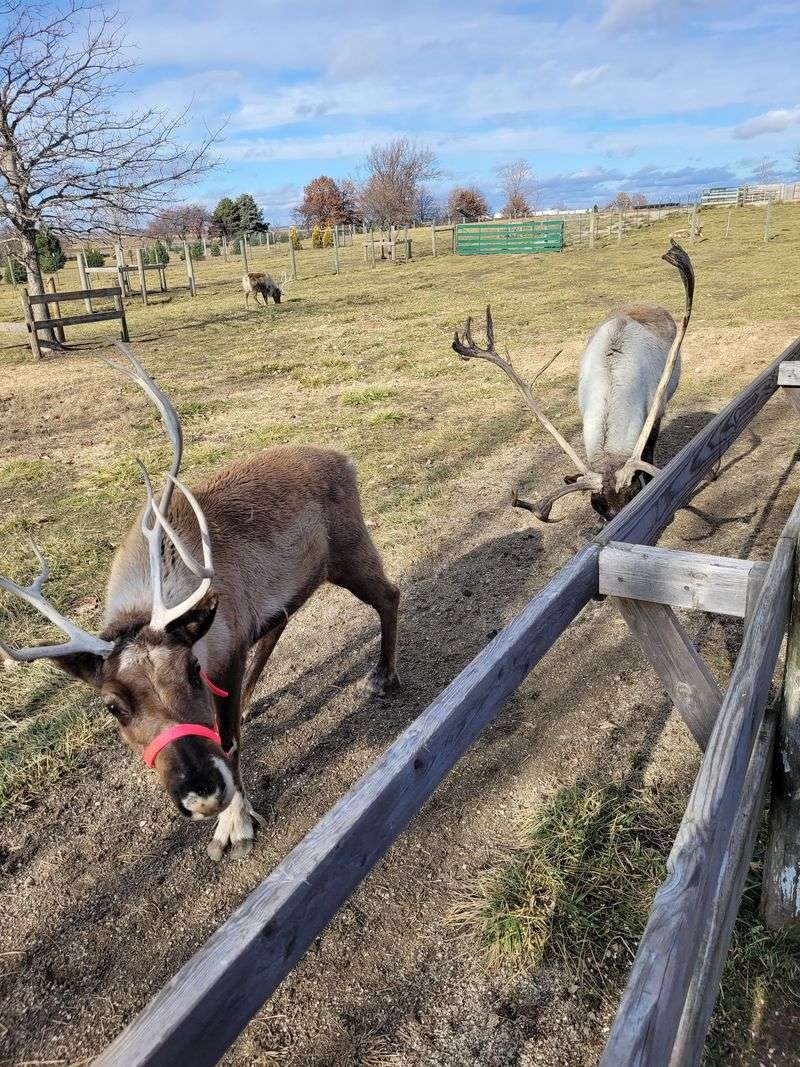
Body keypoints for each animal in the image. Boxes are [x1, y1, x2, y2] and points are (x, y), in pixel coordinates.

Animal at [0, 344, 400, 860]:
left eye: (192, 669)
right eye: (111, 706)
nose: (202, 792)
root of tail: (342, 458)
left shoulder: (225, 652)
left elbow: (228, 741)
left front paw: (235, 825)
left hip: (350, 554)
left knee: (389, 594)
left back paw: (383, 676)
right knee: (279, 624)